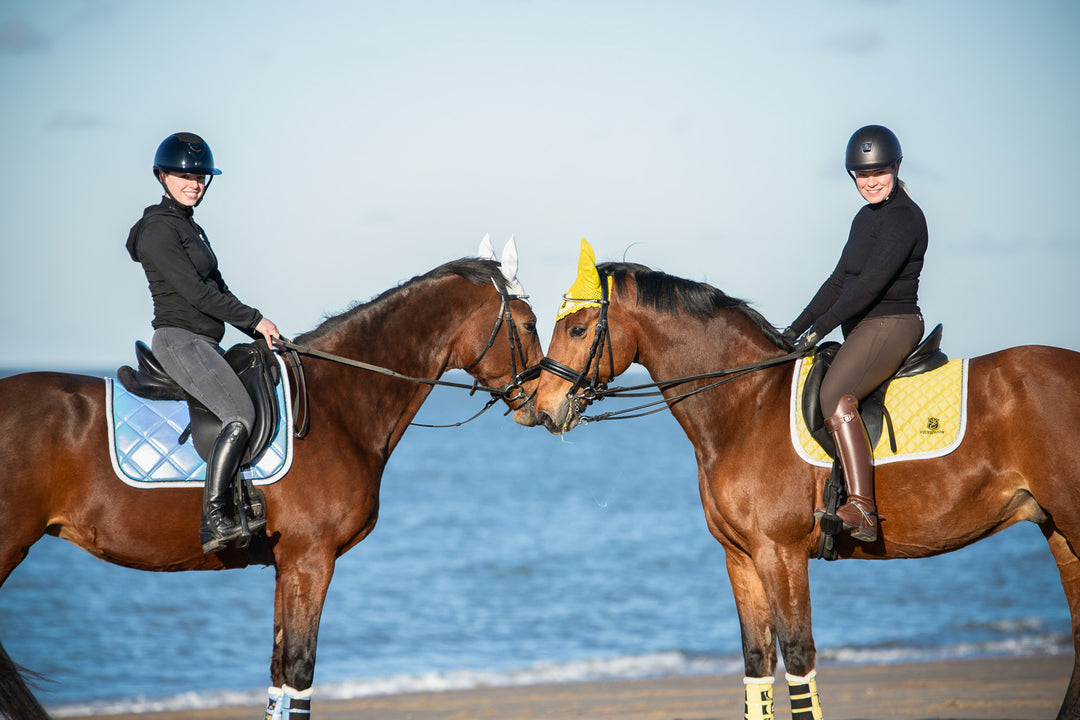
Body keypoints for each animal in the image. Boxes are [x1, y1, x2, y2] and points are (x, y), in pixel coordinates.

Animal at [0, 255, 540, 716]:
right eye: (529, 324)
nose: (546, 402)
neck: (336, 405)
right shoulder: (309, 560)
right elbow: (300, 673)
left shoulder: (289, 564)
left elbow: (279, 673)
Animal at [531, 257, 1080, 720]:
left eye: (577, 328)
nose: (541, 407)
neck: (747, 405)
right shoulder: (741, 557)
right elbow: (757, 662)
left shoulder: (781, 553)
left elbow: (797, 658)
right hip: (1056, 528)